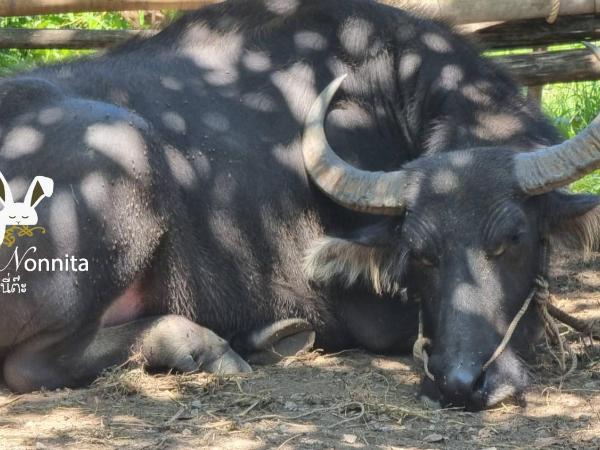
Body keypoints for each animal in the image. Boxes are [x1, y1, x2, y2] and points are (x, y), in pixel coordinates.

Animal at [0, 0, 596, 412]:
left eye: (513, 239)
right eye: (420, 252)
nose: (461, 381)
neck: (391, 95)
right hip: (125, 148)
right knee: (31, 365)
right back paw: (204, 345)